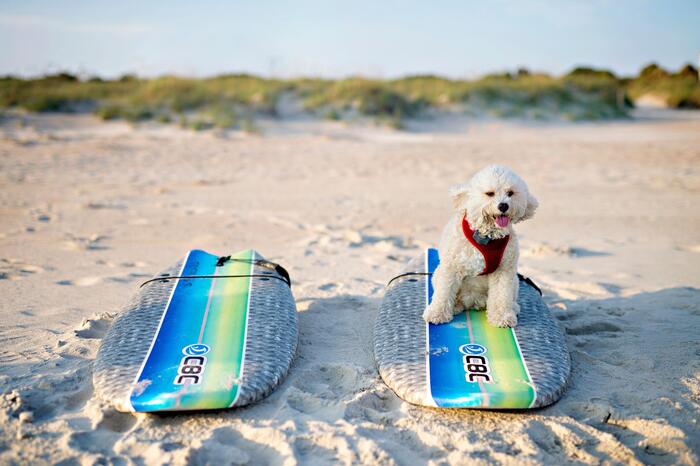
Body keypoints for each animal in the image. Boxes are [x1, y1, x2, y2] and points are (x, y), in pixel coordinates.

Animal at [422, 166, 540, 326]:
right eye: (490, 193)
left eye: (510, 193)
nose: (503, 205)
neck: (487, 237)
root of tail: (473, 302)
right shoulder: (451, 267)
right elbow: (444, 292)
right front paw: (436, 314)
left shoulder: (504, 271)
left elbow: (501, 295)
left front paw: (501, 317)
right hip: (437, 275)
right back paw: (455, 305)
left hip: (514, 282)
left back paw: (513, 307)